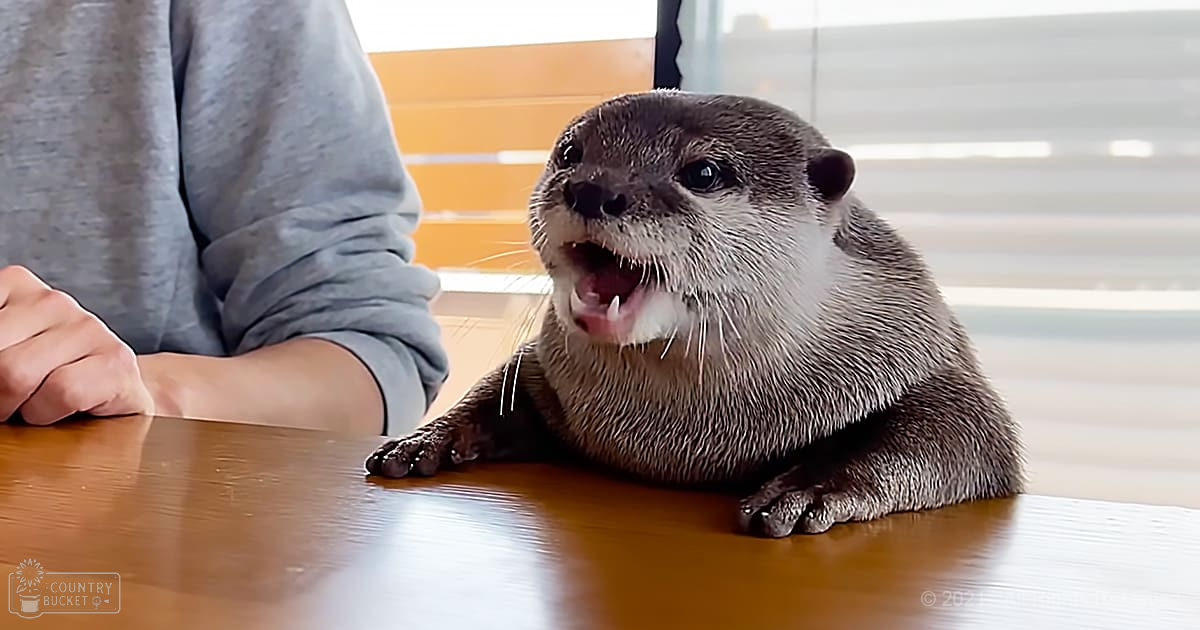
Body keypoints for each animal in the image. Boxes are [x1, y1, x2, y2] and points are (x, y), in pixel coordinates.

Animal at [365, 90, 1024, 537]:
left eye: (703, 172)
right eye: (570, 152)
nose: (593, 188)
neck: (683, 440)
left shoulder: (926, 356)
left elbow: (958, 435)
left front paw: (808, 487)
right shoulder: (542, 368)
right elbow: (496, 389)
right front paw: (423, 438)